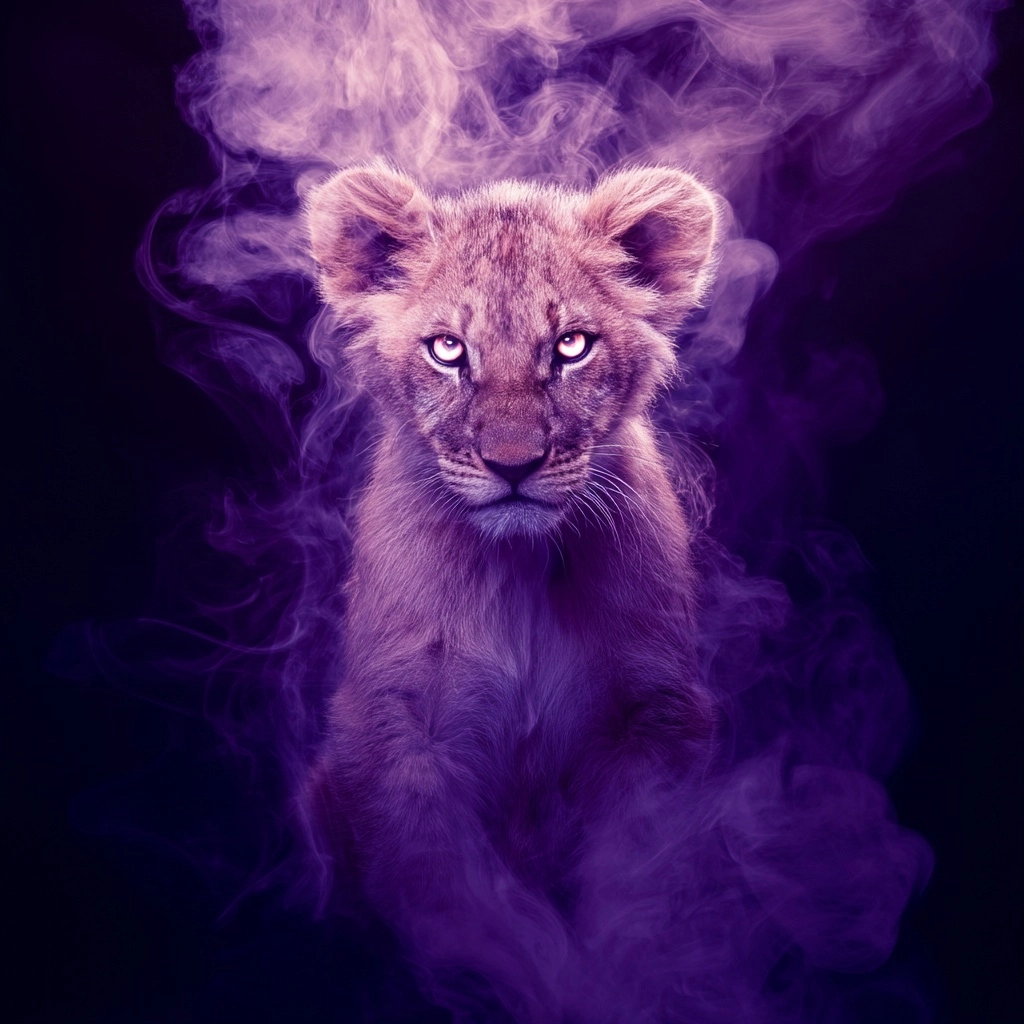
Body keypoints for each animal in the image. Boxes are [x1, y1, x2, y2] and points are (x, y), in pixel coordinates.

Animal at [306, 163, 721, 1022]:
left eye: (570, 346)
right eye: (447, 350)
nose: (513, 464)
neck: (520, 573)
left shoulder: (656, 713)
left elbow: (640, 886)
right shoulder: (398, 730)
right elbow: (459, 904)